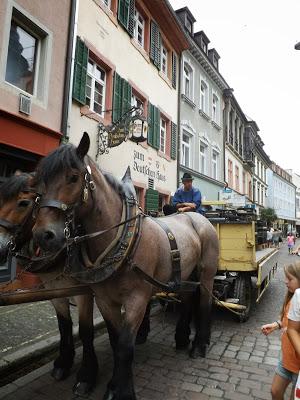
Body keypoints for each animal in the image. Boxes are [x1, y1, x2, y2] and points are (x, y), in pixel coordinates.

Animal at [0, 173, 97, 396]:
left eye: (23, 203)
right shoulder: (56, 291)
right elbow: (64, 325)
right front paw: (63, 363)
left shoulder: (85, 292)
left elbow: (86, 330)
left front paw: (87, 376)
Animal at [31, 134, 218, 400]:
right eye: (40, 182)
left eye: (73, 177)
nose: (43, 235)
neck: (121, 239)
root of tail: (198, 217)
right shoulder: (104, 299)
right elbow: (114, 339)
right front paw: (112, 384)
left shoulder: (137, 299)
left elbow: (125, 346)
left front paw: (122, 391)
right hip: (185, 272)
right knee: (188, 299)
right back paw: (182, 338)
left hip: (207, 271)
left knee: (204, 302)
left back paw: (200, 344)